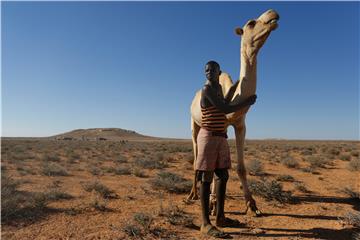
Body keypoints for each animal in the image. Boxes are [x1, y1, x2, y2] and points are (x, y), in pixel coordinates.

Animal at [187, 9, 280, 217]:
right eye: (251, 22)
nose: (273, 13)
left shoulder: (240, 125)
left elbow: (241, 168)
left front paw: (252, 205)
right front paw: (213, 202)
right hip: (193, 123)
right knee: (196, 156)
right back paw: (192, 194)